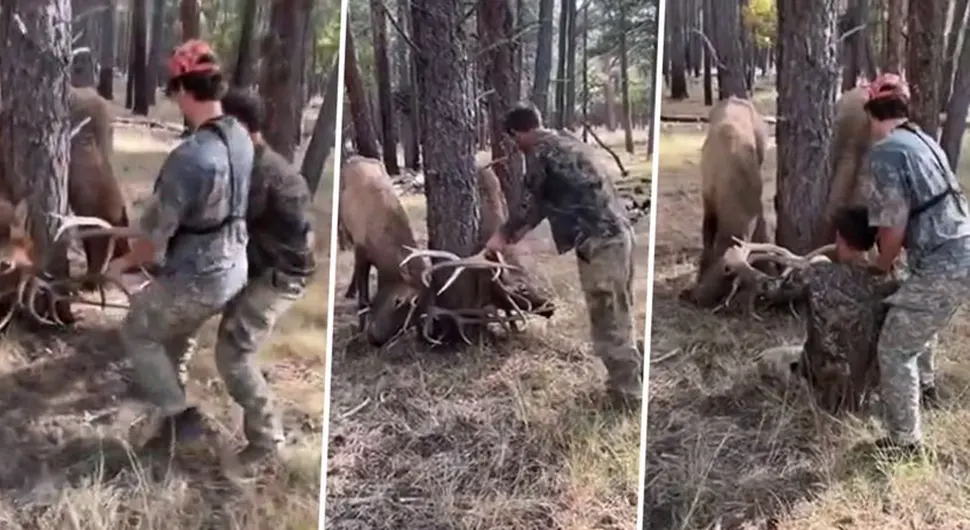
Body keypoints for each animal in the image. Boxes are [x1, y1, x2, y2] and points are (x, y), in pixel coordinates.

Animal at [338, 156, 552, 346]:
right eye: (398, 301)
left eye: (415, 319)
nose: (550, 306)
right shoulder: (361, 247)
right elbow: (364, 300)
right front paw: (358, 334)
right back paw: (349, 291)